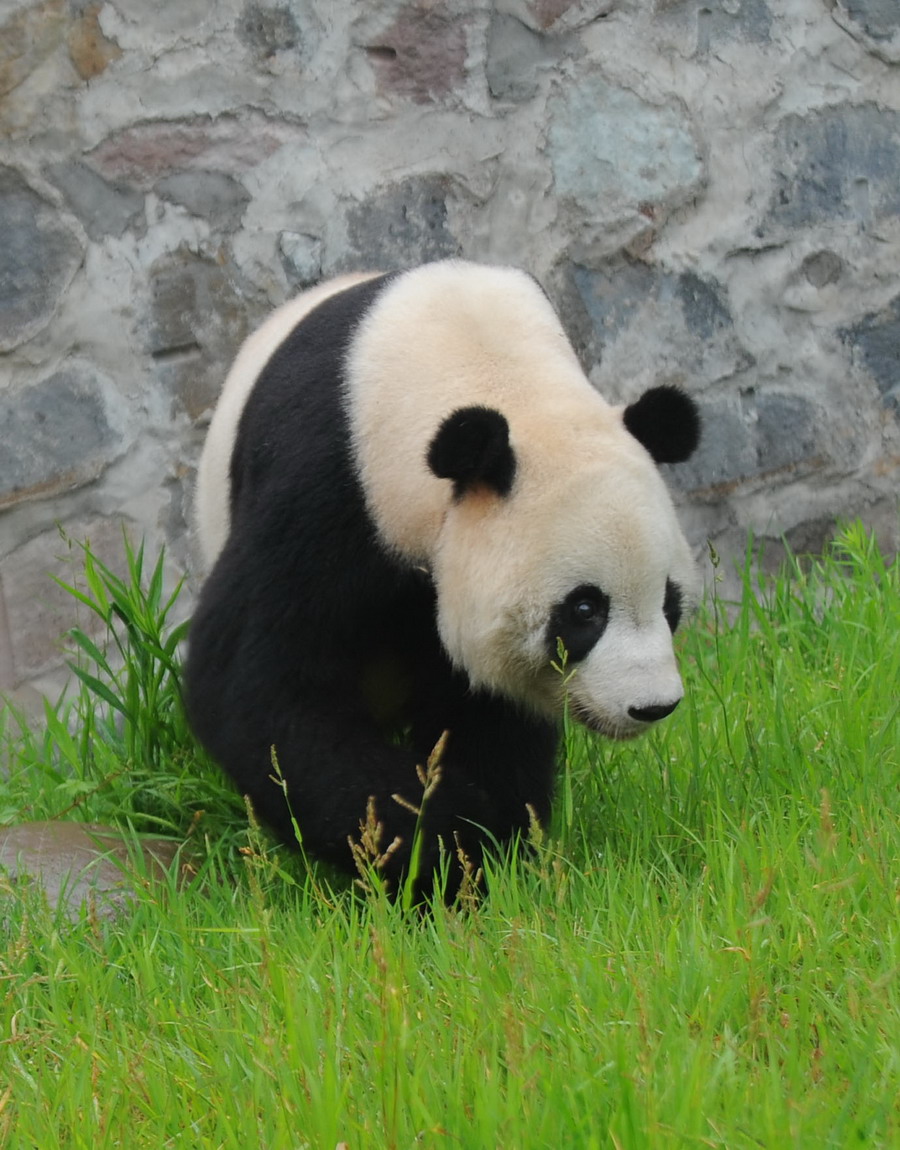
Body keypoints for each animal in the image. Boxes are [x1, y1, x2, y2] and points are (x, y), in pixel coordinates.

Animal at [185, 261, 703, 897]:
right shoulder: (325, 487)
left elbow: (487, 711)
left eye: (669, 602)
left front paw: (491, 845)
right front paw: (446, 841)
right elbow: (262, 687)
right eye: (585, 610)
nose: (652, 706)